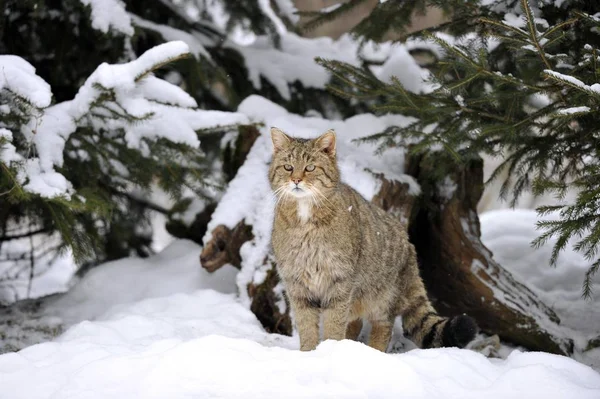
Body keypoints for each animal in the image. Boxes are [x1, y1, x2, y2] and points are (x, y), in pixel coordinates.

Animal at [268, 128, 478, 354]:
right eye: (288, 167)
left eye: (310, 167)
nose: (296, 180)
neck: (305, 219)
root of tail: (409, 245)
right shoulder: (297, 283)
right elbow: (307, 327)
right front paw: (308, 354)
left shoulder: (339, 281)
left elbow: (334, 324)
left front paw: (330, 350)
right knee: (356, 322)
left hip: (382, 298)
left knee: (383, 326)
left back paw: (374, 353)